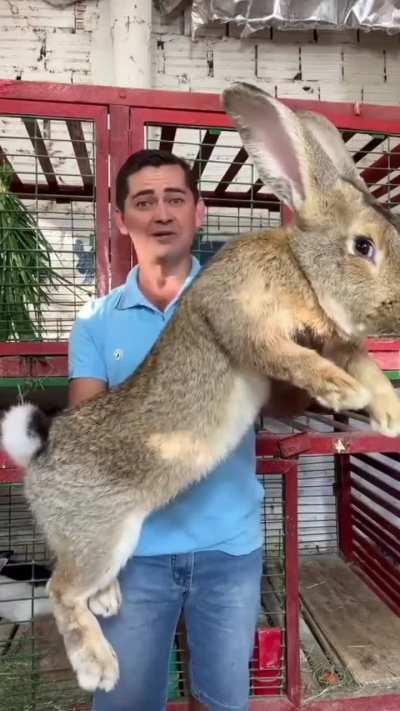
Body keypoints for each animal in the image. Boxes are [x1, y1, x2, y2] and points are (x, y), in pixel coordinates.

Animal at [2, 81, 400, 694]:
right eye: (363, 247)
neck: (301, 270)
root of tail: (39, 453)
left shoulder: (336, 339)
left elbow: (370, 367)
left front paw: (389, 413)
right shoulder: (246, 324)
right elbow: (294, 357)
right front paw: (341, 392)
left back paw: (110, 601)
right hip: (103, 533)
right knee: (60, 589)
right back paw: (98, 666)